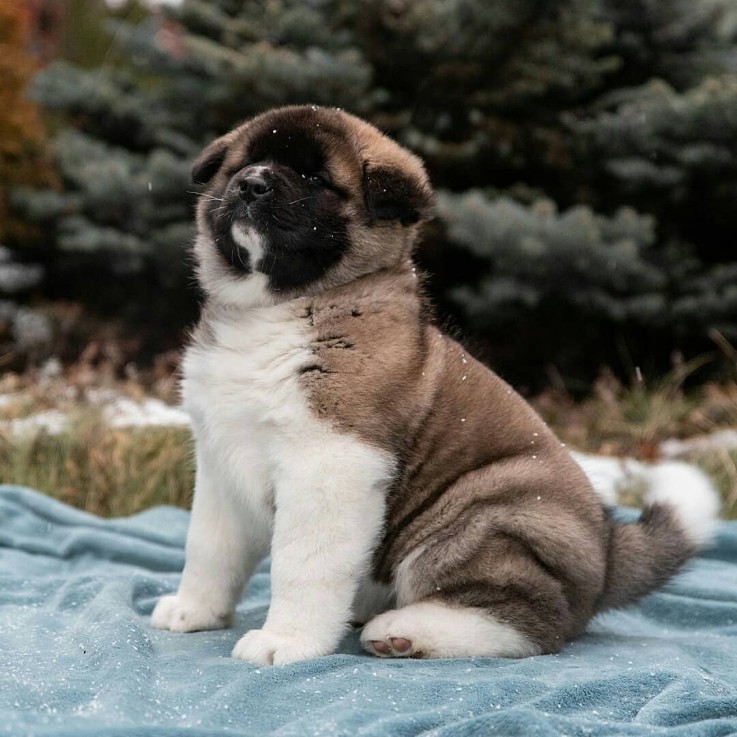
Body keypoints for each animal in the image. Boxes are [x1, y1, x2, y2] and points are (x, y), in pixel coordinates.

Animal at [151, 106, 720, 664]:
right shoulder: (222, 463)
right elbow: (208, 548)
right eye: (244, 163)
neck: (277, 309)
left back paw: (404, 631)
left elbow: (302, 563)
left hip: (483, 518)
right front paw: (194, 610)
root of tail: (607, 554)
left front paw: (286, 641)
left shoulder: (330, 463)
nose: (251, 184)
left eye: (314, 179)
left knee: (532, 622)